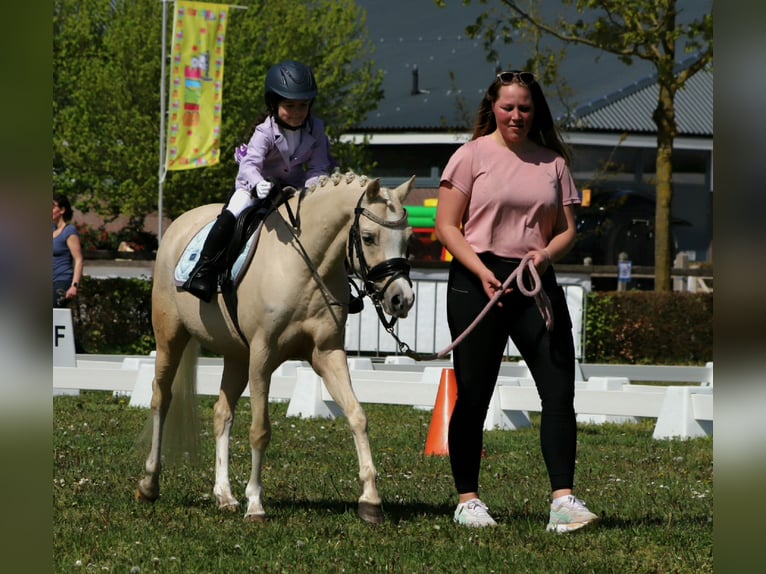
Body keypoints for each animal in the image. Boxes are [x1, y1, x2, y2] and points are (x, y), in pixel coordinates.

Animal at [137, 173, 414, 524]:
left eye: (408, 239)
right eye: (368, 237)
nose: (402, 299)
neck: (305, 265)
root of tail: (179, 224)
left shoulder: (328, 354)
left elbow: (357, 416)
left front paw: (370, 500)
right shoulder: (262, 357)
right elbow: (260, 430)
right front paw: (255, 503)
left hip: (236, 356)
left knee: (221, 413)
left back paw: (224, 495)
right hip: (170, 338)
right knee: (161, 399)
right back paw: (149, 484)